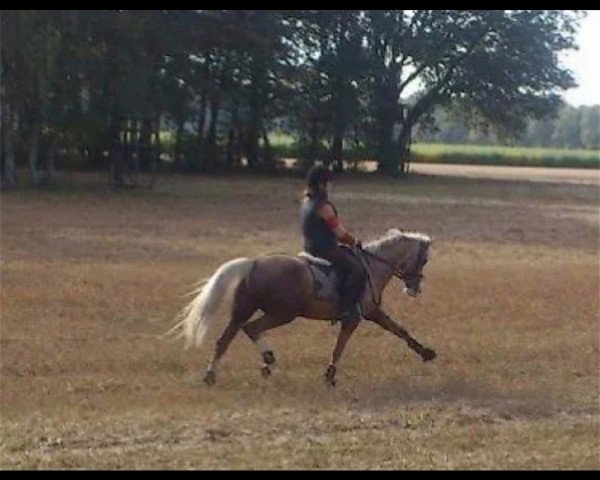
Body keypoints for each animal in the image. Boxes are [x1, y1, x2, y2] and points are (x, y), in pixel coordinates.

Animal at [169, 229, 436, 386]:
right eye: (423, 259)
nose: (415, 288)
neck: (373, 264)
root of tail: (254, 263)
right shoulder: (359, 316)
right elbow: (343, 345)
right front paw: (330, 374)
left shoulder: (369, 314)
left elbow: (397, 330)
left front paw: (425, 353)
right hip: (283, 313)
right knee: (251, 329)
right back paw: (266, 360)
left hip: (245, 310)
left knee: (227, 338)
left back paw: (217, 373)